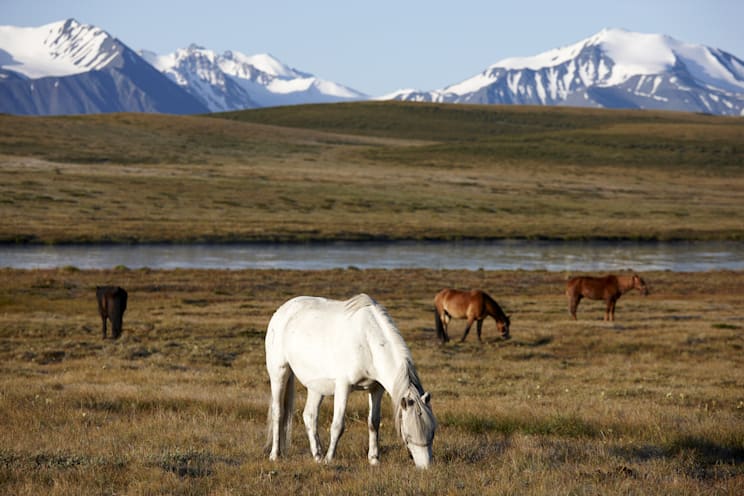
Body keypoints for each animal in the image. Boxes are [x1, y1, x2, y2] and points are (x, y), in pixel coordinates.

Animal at [265, 293, 436, 469]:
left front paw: (374, 459)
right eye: (408, 435)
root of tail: (283, 310)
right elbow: (338, 425)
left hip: (316, 387)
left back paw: (317, 456)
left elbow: (373, 422)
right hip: (279, 373)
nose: (425, 467)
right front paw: (329, 459)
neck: (368, 341)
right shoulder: (343, 386)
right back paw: (275, 455)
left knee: (309, 416)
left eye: (433, 433)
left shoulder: (376, 389)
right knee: (278, 412)